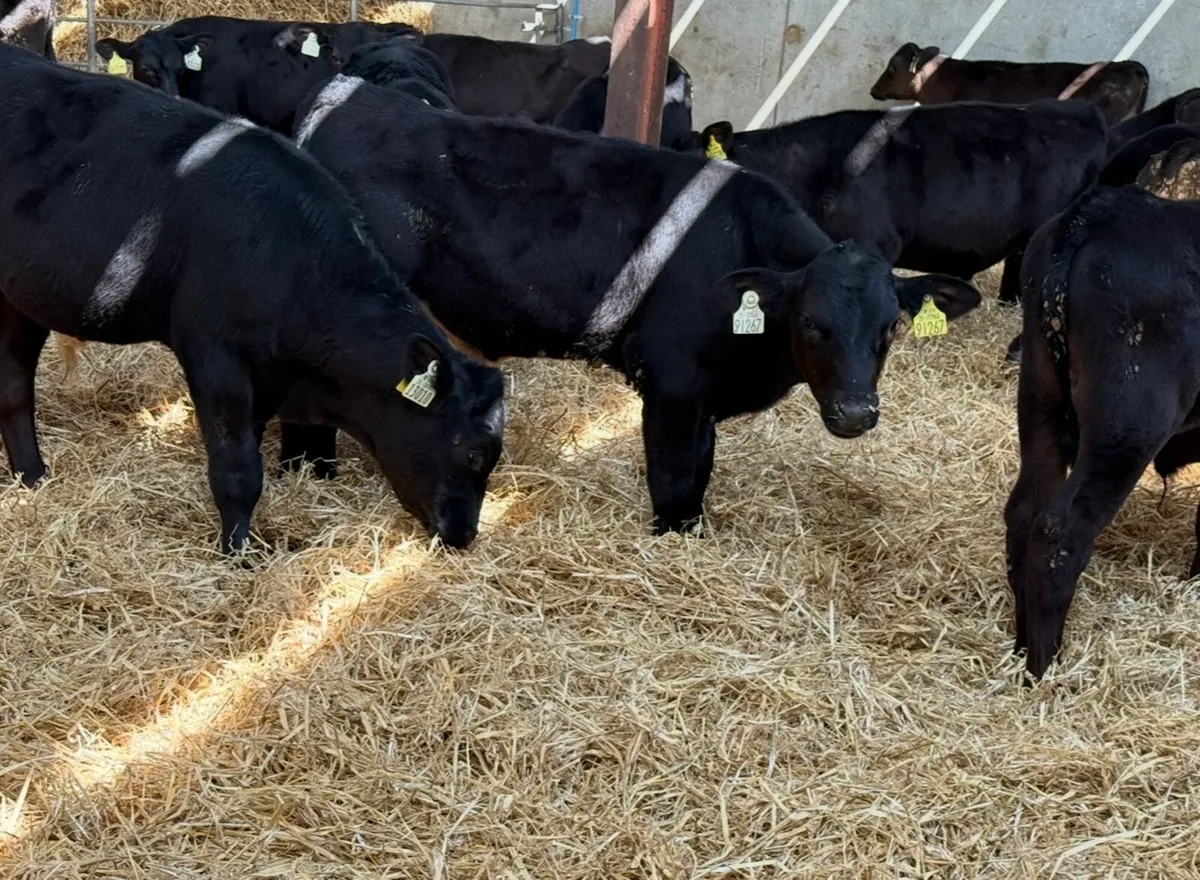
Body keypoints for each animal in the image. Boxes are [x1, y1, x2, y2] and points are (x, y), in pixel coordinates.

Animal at [0, 43, 505, 553]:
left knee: (14, 386)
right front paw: (239, 552)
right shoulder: (214, 357)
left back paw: (33, 477)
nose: (463, 534)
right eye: (475, 452)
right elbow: (238, 469)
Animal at [1006, 141, 1200, 680]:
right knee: (1060, 531)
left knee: (1025, 512)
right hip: (1126, 427)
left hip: (1041, 401)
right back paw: (1044, 669)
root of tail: (1099, 211)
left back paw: (1021, 651)